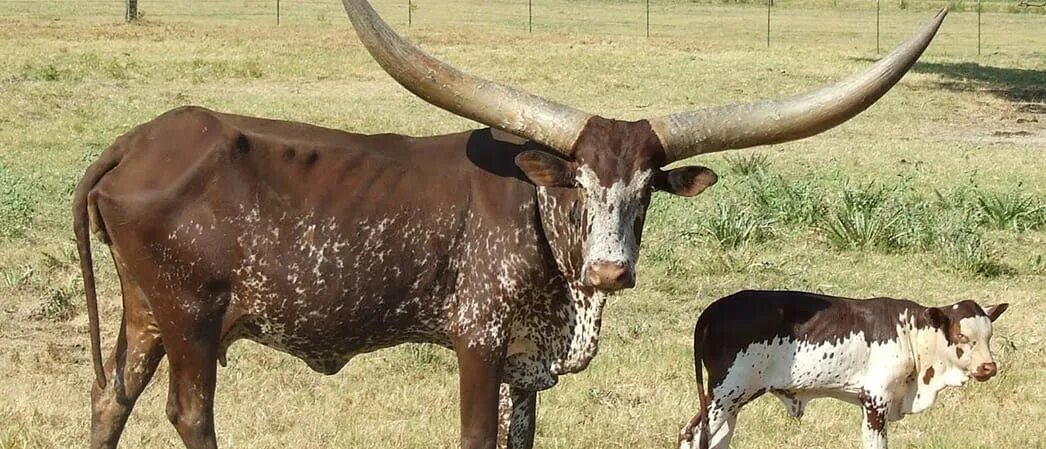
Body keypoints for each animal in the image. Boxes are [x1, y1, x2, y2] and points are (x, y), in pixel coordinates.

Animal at [75, 1, 949, 445]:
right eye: (579, 182)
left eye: (647, 190)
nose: (610, 270)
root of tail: (136, 141)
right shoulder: (478, 337)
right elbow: (474, 437)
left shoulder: (526, 366)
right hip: (191, 316)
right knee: (189, 413)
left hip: (146, 314)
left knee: (109, 398)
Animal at [677, 288, 1004, 447]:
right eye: (962, 337)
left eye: (989, 336)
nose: (988, 367)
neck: (911, 334)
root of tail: (714, 309)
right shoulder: (875, 401)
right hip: (725, 395)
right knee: (695, 434)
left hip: (733, 399)